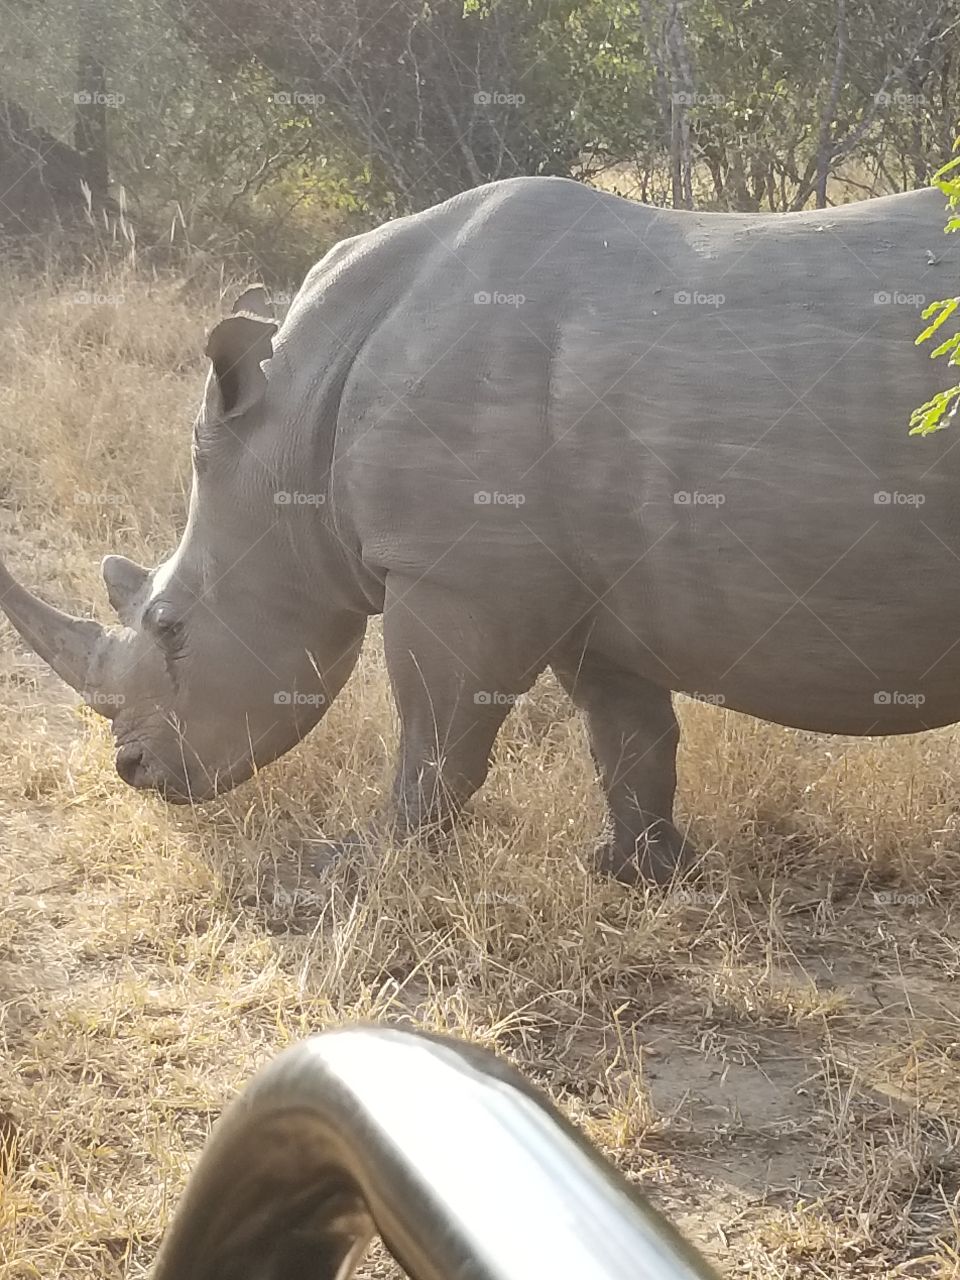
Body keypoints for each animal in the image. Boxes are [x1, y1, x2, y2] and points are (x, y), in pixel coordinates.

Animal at [1, 176, 957, 883]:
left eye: (171, 628)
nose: (134, 772)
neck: (296, 428)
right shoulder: (579, 587)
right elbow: (629, 736)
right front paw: (636, 873)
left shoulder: (454, 578)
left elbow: (438, 739)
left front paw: (359, 870)